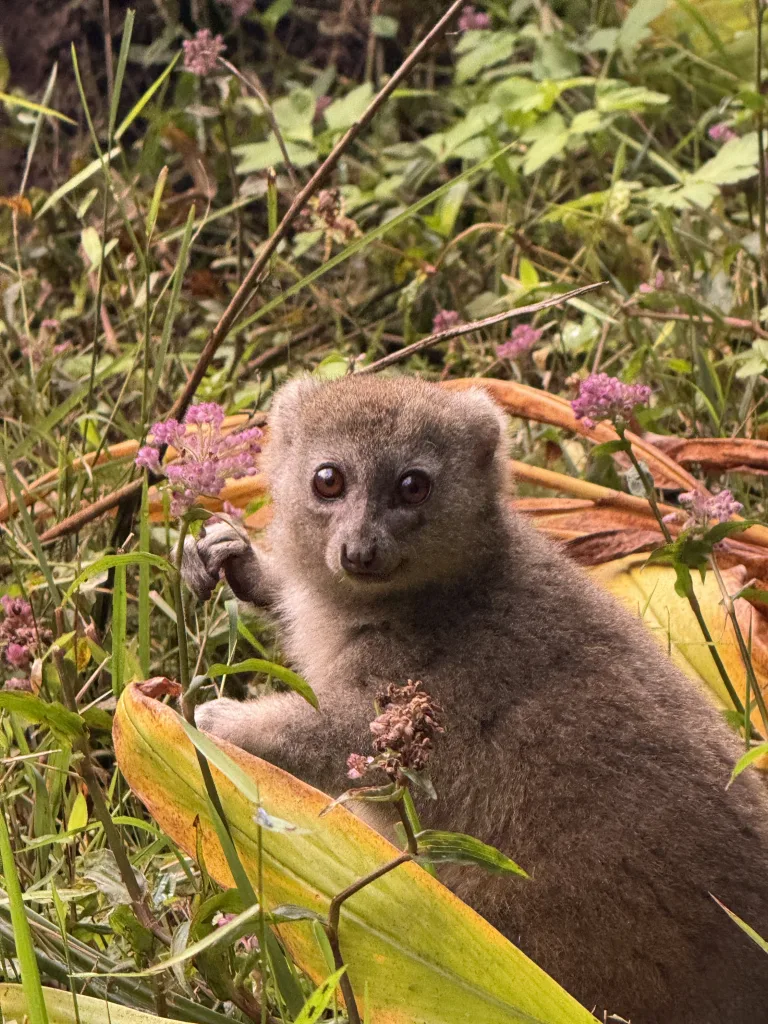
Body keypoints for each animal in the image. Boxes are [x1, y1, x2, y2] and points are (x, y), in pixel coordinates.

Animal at [182, 374, 768, 1024]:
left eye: (414, 486)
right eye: (327, 479)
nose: (359, 551)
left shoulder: (436, 693)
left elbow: (346, 742)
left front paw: (223, 722)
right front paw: (241, 562)